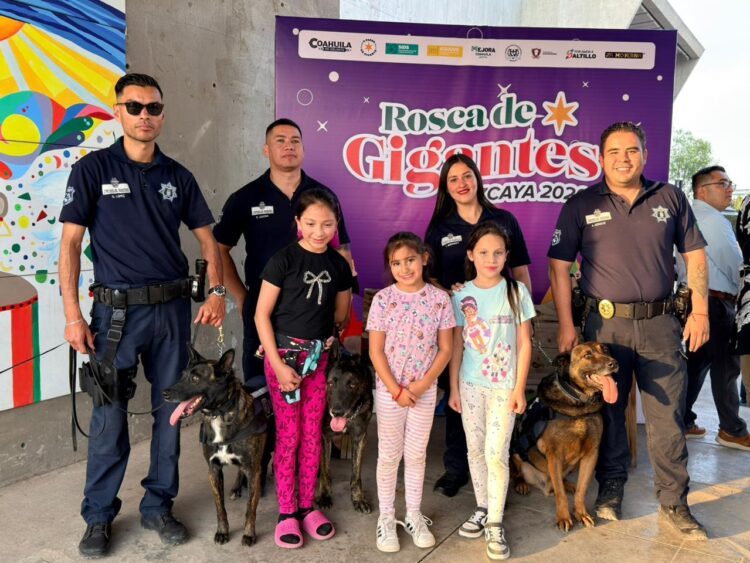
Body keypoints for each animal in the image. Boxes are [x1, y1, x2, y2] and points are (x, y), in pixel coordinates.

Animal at [163, 346, 267, 546]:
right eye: (182, 375)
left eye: (195, 378)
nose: (165, 393)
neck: (219, 413)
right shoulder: (213, 469)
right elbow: (220, 508)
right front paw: (222, 532)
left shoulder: (252, 468)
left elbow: (251, 507)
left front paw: (249, 534)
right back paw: (236, 488)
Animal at [315, 353, 374, 513]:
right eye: (330, 384)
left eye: (352, 385)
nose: (336, 412)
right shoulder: (324, 436)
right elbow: (325, 470)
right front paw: (324, 495)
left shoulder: (360, 438)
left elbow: (356, 474)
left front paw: (358, 498)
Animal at [511, 342, 618, 531]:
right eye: (587, 355)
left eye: (605, 350)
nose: (614, 363)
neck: (579, 402)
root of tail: (543, 484)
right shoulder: (554, 455)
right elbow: (560, 495)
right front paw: (563, 517)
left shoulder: (591, 454)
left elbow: (582, 489)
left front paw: (581, 513)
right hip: (515, 450)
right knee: (519, 474)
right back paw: (522, 484)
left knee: (561, 479)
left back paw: (568, 484)